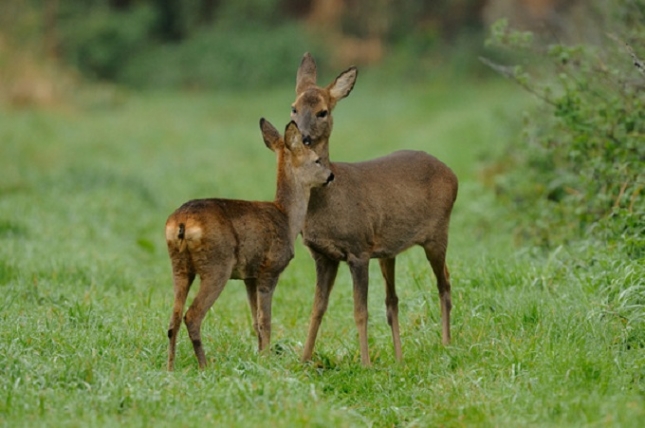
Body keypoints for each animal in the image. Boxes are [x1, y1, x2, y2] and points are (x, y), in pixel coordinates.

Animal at [164, 118, 332, 370]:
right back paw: (204, 365)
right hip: (217, 266)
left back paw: (170, 367)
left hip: (180, 266)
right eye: (316, 160)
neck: (287, 217)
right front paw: (267, 359)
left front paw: (260, 356)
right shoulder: (270, 269)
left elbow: (255, 320)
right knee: (192, 315)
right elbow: (265, 320)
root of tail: (181, 222)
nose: (331, 176)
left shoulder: (249, 276)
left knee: (173, 319)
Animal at [290, 53, 456, 366]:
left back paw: (446, 343)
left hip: (437, 233)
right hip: (388, 250)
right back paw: (400, 358)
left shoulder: (358, 250)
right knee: (393, 300)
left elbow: (360, 312)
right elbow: (317, 309)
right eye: (293, 108)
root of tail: (452, 173)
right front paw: (304, 361)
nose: (303, 137)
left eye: (322, 112)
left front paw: (365, 363)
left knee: (445, 283)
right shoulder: (323, 255)